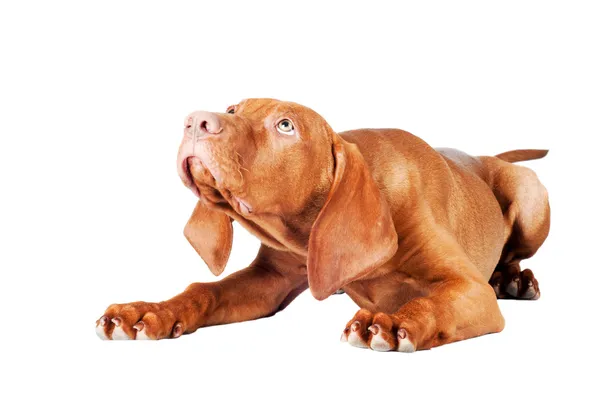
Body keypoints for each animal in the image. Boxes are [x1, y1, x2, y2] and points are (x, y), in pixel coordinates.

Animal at [94, 98, 548, 352]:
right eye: (232, 109)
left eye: (286, 125)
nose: (195, 122)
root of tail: (482, 155)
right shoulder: (270, 279)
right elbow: (203, 290)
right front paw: (148, 312)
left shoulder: (468, 289)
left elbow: (431, 302)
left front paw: (394, 322)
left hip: (531, 198)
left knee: (511, 255)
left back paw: (514, 280)